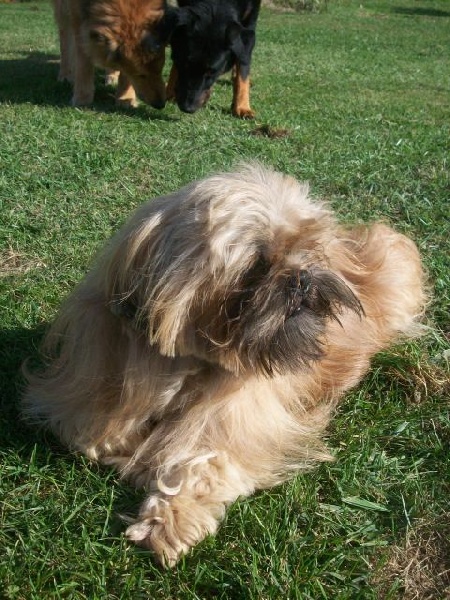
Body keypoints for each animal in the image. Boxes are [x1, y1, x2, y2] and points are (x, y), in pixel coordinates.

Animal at [23, 164, 426, 566]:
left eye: (308, 252)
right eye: (257, 266)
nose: (301, 276)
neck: (183, 369)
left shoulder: (239, 425)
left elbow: (205, 463)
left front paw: (167, 520)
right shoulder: (86, 402)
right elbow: (96, 438)